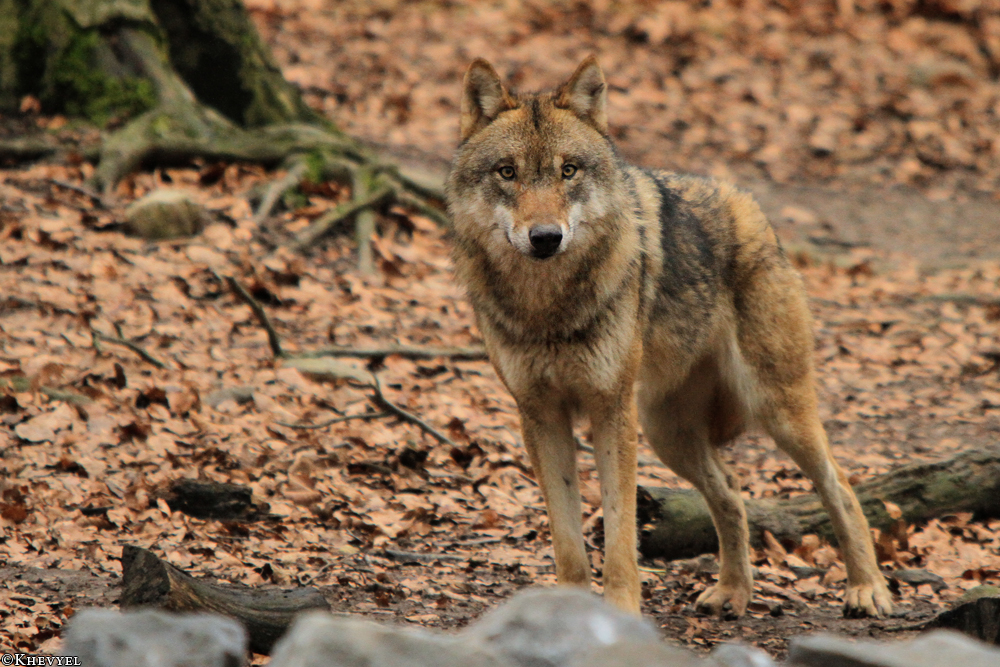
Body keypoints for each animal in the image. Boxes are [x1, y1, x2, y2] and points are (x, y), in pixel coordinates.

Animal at [445, 56, 893, 618]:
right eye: (507, 172)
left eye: (569, 170)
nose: (546, 238)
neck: (547, 306)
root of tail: (753, 208)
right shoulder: (539, 414)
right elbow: (567, 538)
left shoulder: (611, 409)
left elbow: (619, 532)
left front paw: (619, 611)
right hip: (668, 433)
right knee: (732, 490)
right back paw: (734, 590)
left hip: (775, 409)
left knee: (841, 483)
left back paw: (867, 588)